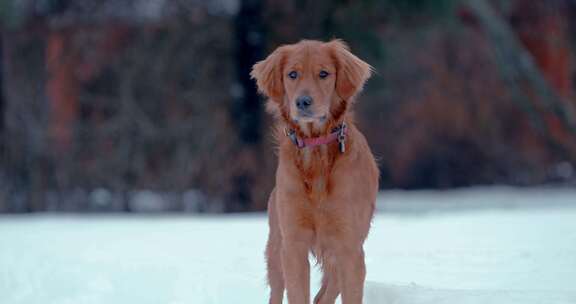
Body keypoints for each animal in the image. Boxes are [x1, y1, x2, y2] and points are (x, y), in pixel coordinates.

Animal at [251, 39, 378, 302]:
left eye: (323, 74)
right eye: (292, 74)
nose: (303, 102)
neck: (316, 152)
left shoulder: (349, 248)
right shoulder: (293, 245)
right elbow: (297, 293)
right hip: (276, 248)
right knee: (277, 291)